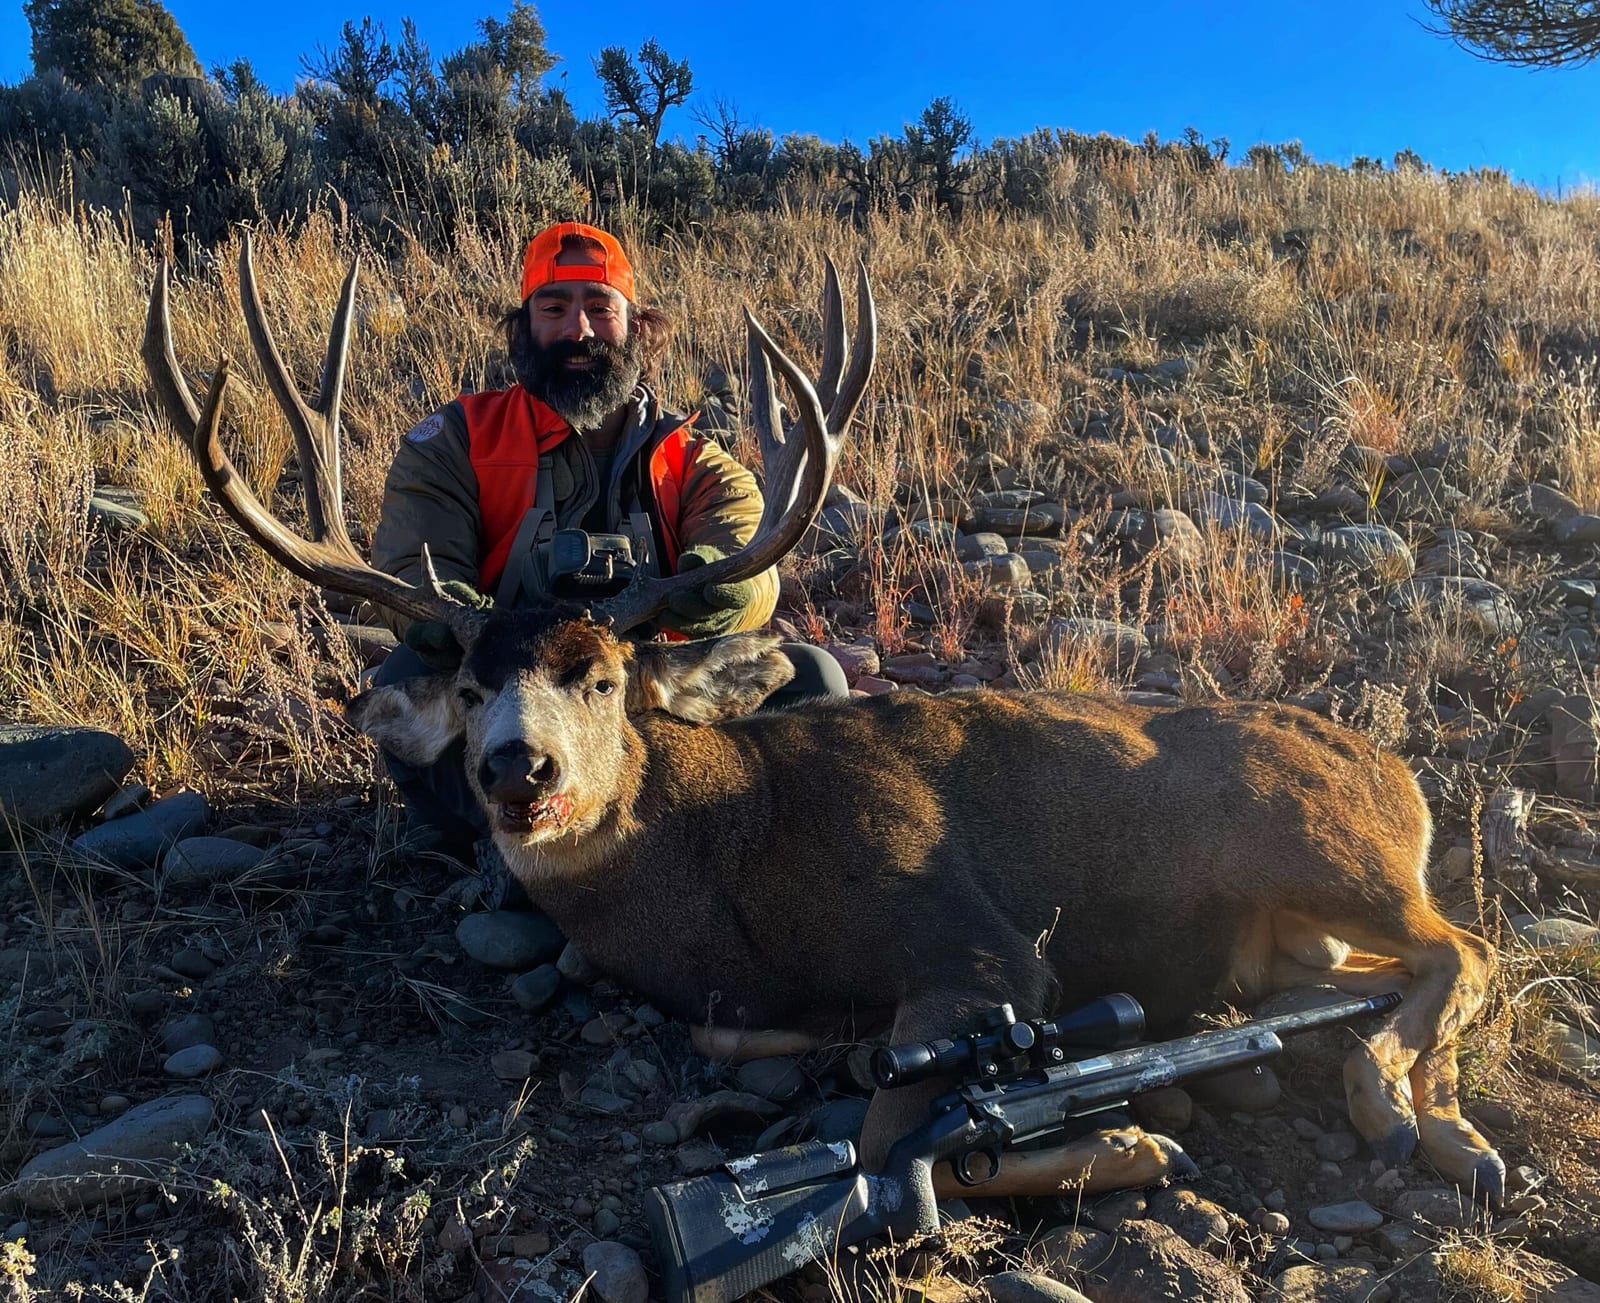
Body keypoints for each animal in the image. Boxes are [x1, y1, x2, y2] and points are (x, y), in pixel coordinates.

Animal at [143, 234, 1505, 1207]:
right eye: (472, 685)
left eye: (603, 677)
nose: (516, 770)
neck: (720, 862)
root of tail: (1401, 776)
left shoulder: (979, 948)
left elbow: (896, 1138)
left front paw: (1123, 1149)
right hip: (1293, 929)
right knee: (1383, 972)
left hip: (1326, 848)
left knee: (1464, 948)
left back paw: (1416, 1121)